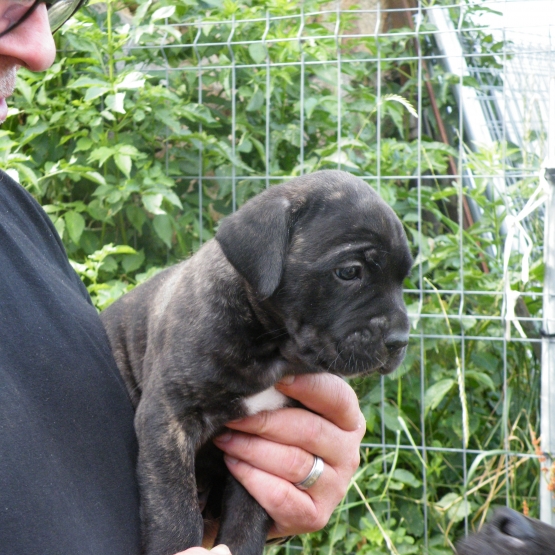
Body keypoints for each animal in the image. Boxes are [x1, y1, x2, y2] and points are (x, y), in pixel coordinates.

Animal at [100, 169, 412, 555]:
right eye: (350, 272)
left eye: (403, 279)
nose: (400, 340)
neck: (273, 350)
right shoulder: (169, 419)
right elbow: (173, 505)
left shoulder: (268, 446)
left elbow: (248, 513)